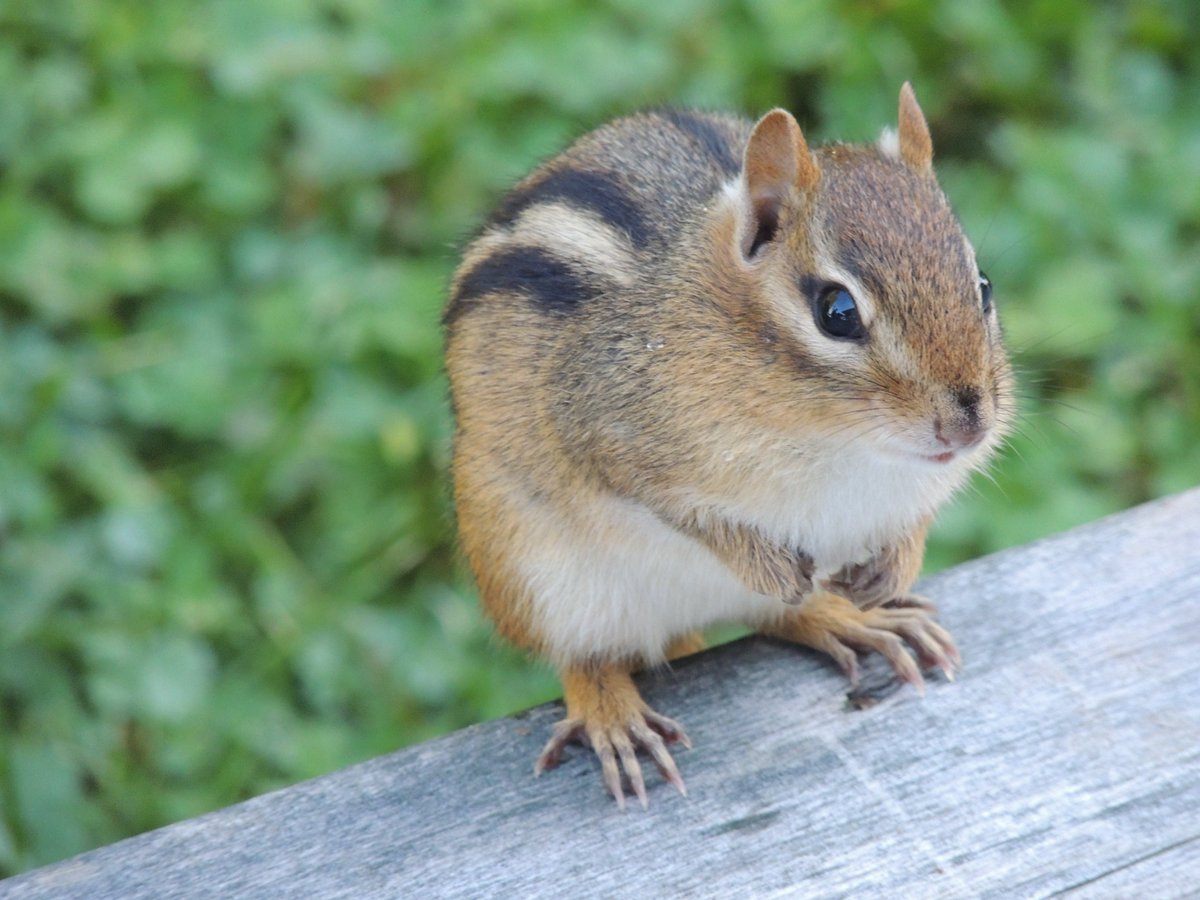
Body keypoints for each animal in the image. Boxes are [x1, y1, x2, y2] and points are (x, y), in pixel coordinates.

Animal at [444, 83, 1013, 809]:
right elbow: (680, 510)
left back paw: (848, 616)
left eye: (983, 285)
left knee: (775, 618)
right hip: (530, 569)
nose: (970, 425)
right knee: (584, 656)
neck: (841, 444)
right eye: (837, 312)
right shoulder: (600, 425)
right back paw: (613, 715)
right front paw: (765, 562)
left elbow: (918, 515)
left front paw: (894, 568)